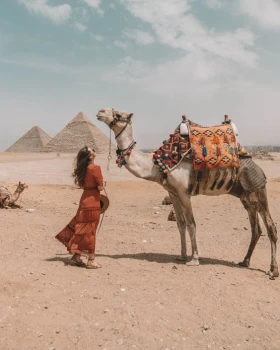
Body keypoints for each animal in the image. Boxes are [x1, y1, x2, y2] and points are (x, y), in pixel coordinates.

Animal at [96, 108, 278, 278]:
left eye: (119, 115)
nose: (100, 111)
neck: (156, 164)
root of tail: (259, 169)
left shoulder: (184, 192)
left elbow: (191, 224)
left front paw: (194, 258)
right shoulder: (173, 192)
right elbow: (180, 224)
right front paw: (182, 256)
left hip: (257, 190)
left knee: (270, 227)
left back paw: (273, 270)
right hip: (246, 197)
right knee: (256, 229)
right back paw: (244, 261)